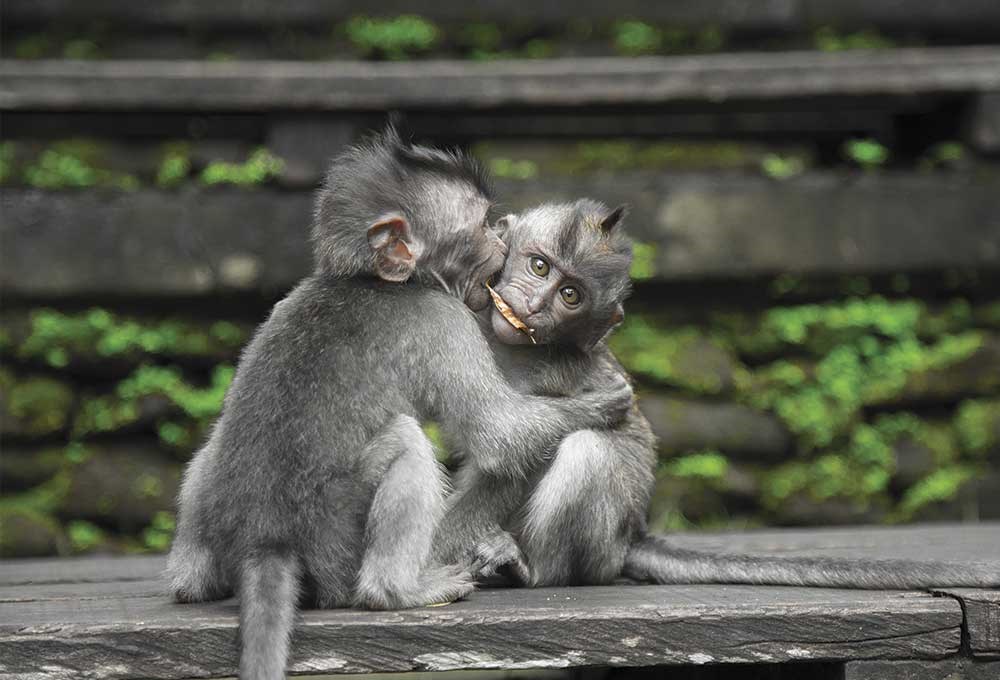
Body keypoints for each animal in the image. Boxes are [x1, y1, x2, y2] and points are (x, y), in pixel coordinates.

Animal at [166, 133, 632, 680]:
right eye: (480, 226)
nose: (501, 240)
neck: (371, 280)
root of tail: (266, 540)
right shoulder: (443, 319)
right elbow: (499, 435)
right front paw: (601, 402)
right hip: (337, 542)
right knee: (406, 444)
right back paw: (399, 591)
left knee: (212, 449)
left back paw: (191, 581)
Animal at [438, 199, 1000, 592]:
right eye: (539, 267)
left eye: (570, 296)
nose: (534, 306)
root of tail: (633, 534)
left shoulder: (559, 372)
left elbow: (517, 454)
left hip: (601, 547)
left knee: (588, 449)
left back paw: (533, 570)